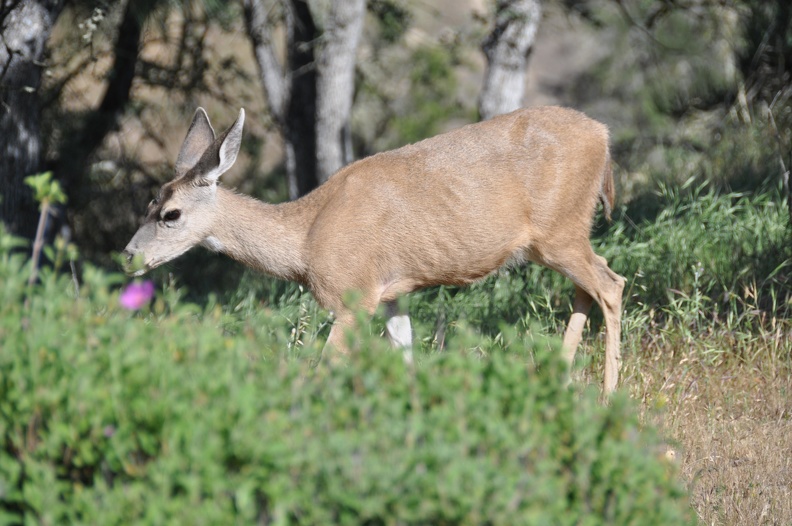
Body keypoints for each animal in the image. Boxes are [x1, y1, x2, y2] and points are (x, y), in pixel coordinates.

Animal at [122, 107, 624, 394]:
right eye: (148, 202)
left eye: (170, 214)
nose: (128, 256)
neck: (306, 238)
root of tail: (604, 134)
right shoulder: (391, 294)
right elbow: (406, 356)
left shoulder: (353, 295)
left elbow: (325, 367)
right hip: (559, 238)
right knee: (588, 288)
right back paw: (556, 381)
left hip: (561, 231)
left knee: (611, 284)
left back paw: (607, 397)